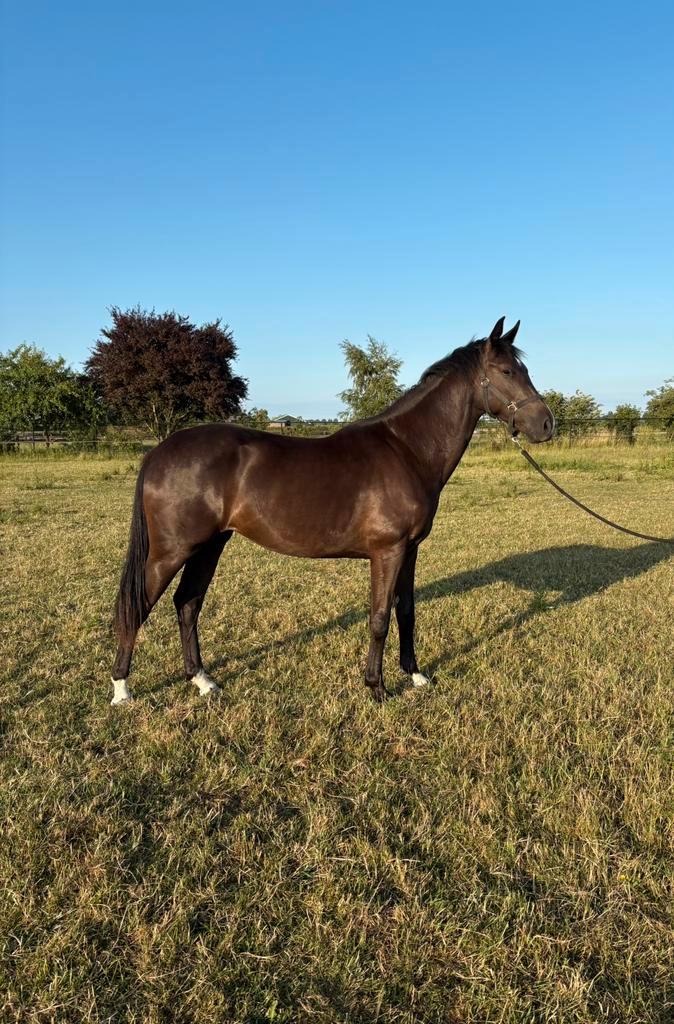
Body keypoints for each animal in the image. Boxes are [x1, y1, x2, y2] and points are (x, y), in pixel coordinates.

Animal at [110, 317, 553, 706]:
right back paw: (122, 691)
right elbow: (379, 618)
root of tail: (158, 452)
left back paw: (202, 681)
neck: (407, 450)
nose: (546, 424)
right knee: (136, 608)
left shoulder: (410, 550)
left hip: (209, 546)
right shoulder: (387, 551)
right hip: (172, 551)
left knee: (187, 604)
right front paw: (377, 688)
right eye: (507, 370)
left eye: (523, 369)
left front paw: (415, 676)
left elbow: (406, 611)